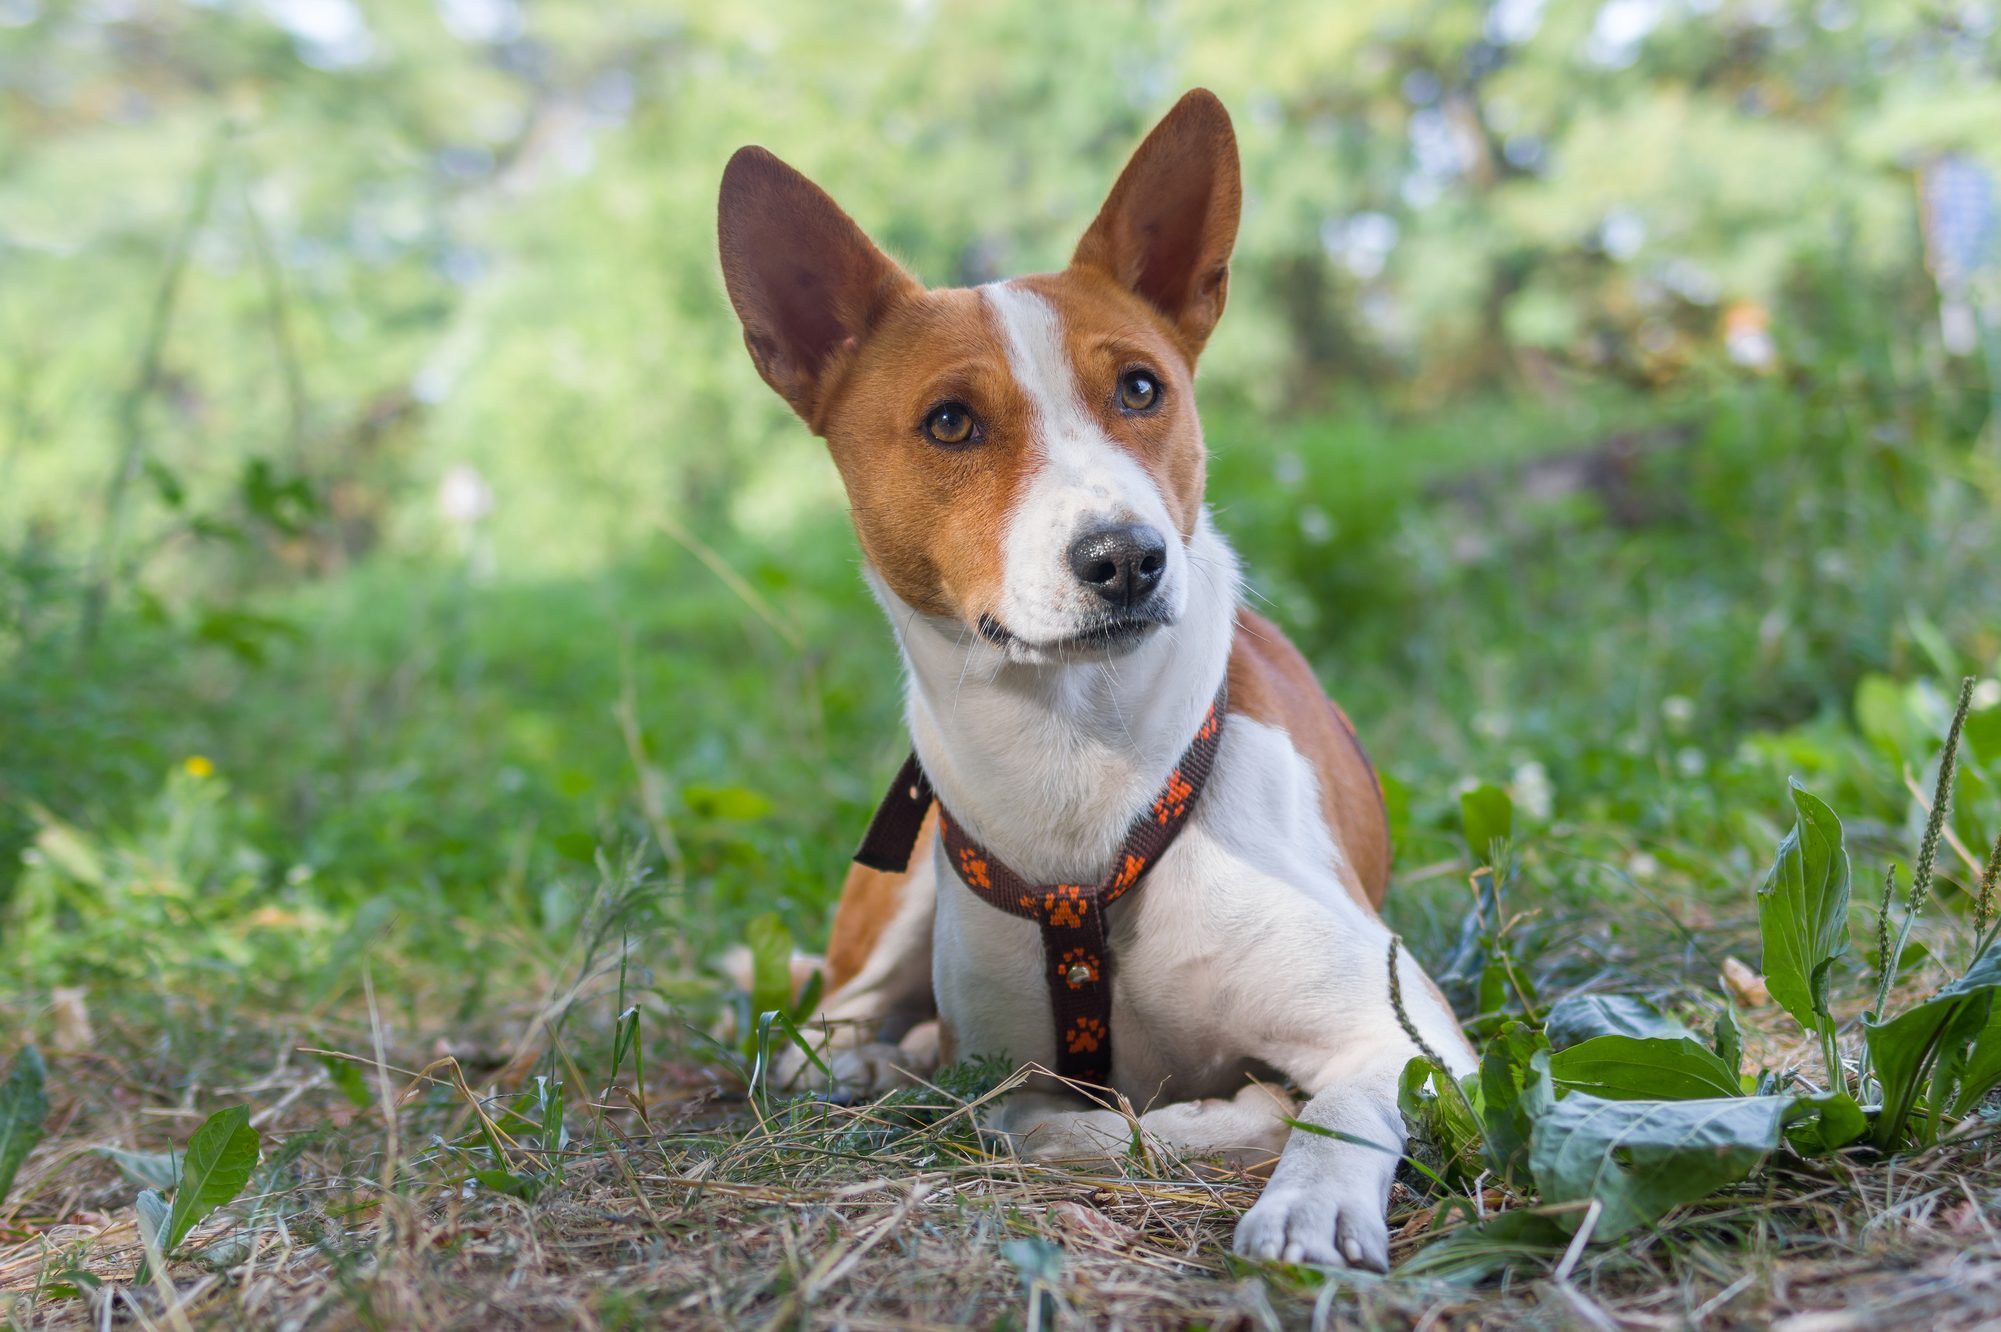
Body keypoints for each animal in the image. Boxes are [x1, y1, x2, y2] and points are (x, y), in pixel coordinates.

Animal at [716, 85, 1472, 1264]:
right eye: (949, 422)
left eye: (1140, 388)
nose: (1124, 557)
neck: (1078, 762)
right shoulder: (1008, 1072)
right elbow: (1043, 1121)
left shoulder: (1406, 1032)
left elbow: (1334, 1105)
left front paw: (1305, 1196)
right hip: (902, 880)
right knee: (817, 1027)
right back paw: (869, 1058)